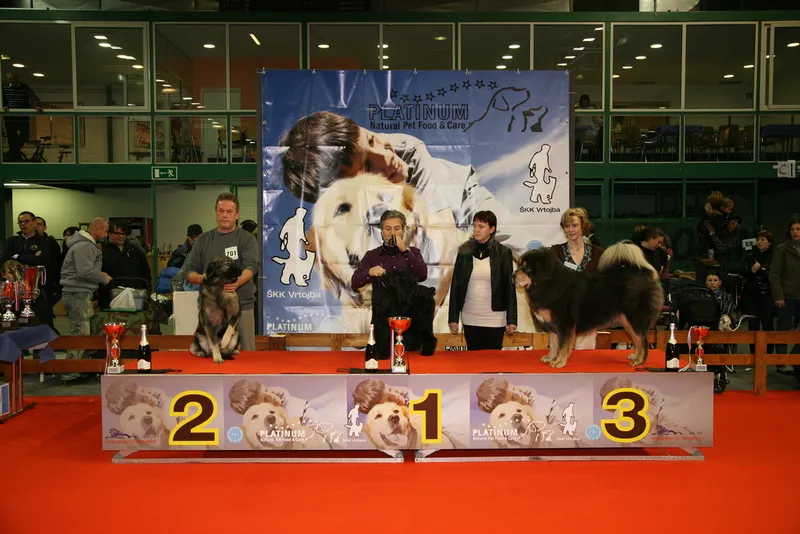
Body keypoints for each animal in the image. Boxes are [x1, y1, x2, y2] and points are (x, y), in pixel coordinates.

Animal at [514, 241, 663, 369]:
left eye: (527, 268)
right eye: (519, 265)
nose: (513, 275)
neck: (548, 283)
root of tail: (645, 275)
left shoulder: (564, 324)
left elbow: (562, 345)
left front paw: (559, 362)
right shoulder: (553, 326)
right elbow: (554, 344)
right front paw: (551, 358)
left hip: (635, 319)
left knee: (643, 340)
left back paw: (639, 361)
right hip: (627, 321)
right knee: (637, 339)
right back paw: (635, 357)